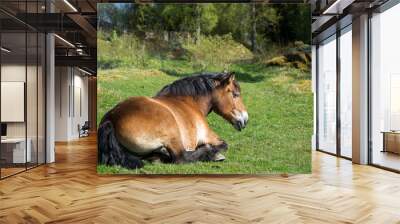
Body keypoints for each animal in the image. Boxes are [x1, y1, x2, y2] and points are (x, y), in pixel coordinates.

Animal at [97, 71, 247, 168]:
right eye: (235, 94)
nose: (245, 119)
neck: (189, 102)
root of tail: (112, 119)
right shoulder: (209, 136)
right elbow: (224, 144)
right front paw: (214, 152)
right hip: (172, 133)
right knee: (181, 157)